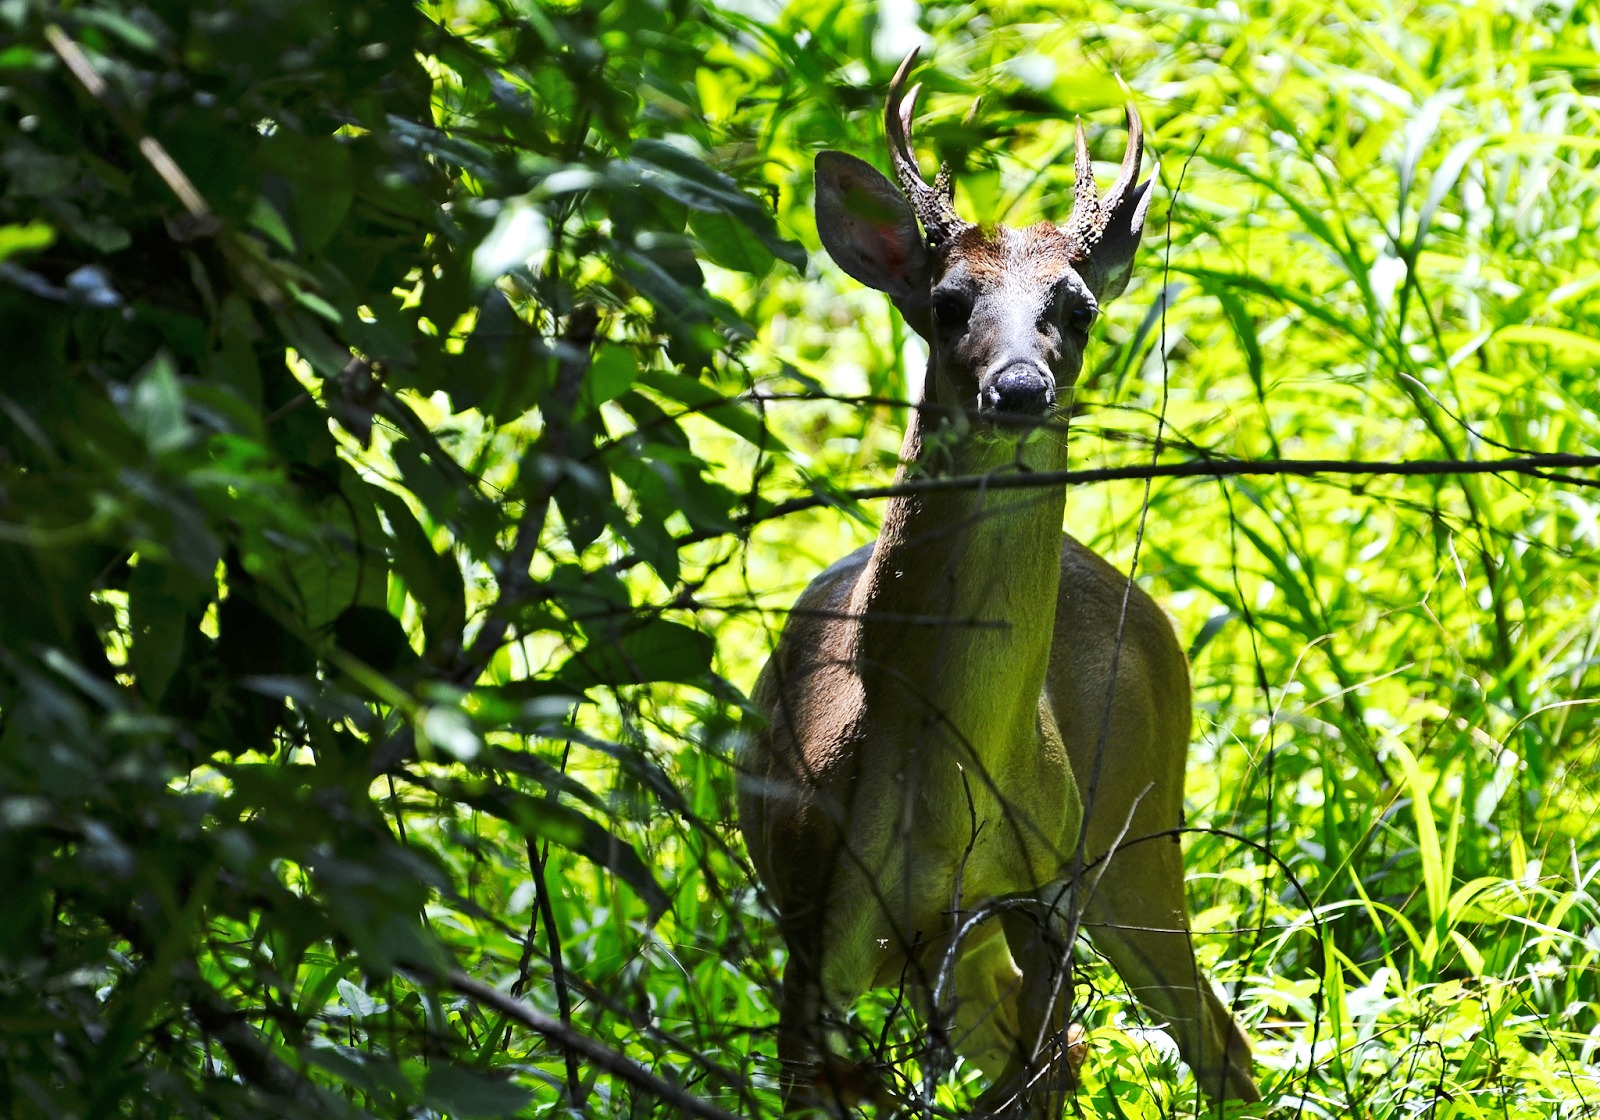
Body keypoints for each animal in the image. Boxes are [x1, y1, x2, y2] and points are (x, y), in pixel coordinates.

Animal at [737, 50, 1259, 1117]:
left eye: (1078, 307)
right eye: (946, 302)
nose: (1018, 387)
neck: (938, 795)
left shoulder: (1038, 891)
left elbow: (1046, 1067)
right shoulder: (811, 927)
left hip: (1135, 831)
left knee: (1209, 1041)